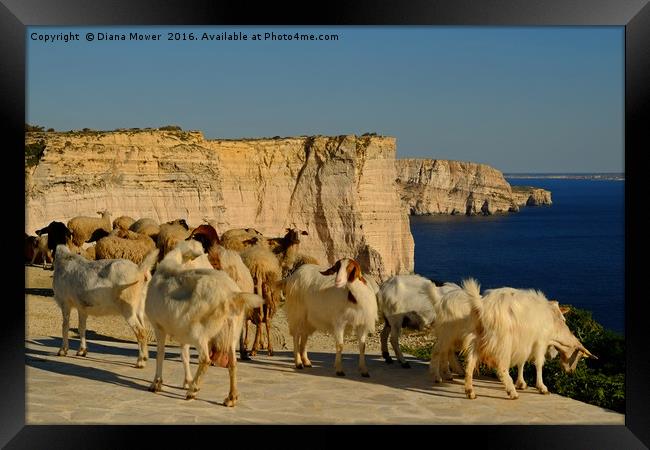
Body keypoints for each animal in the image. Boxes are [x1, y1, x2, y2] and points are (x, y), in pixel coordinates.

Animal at [460, 282, 592, 400]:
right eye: (579, 356)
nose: (571, 372)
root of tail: (483, 307)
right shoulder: (540, 342)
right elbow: (539, 364)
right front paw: (542, 387)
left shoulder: (525, 343)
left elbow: (521, 362)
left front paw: (521, 383)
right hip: (503, 342)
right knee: (501, 367)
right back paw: (512, 392)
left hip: (475, 339)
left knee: (469, 365)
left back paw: (470, 391)